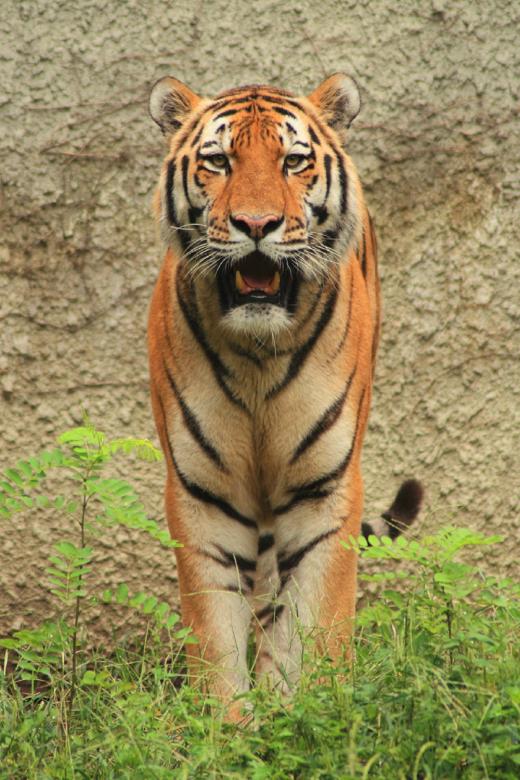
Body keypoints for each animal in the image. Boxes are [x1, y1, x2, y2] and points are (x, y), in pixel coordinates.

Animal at [147, 72, 422, 718]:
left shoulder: (325, 489)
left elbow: (318, 619)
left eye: (293, 162)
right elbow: (215, 630)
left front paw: (315, 712)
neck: (257, 355)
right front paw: (228, 725)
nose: (255, 225)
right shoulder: (203, 493)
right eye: (218, 161)